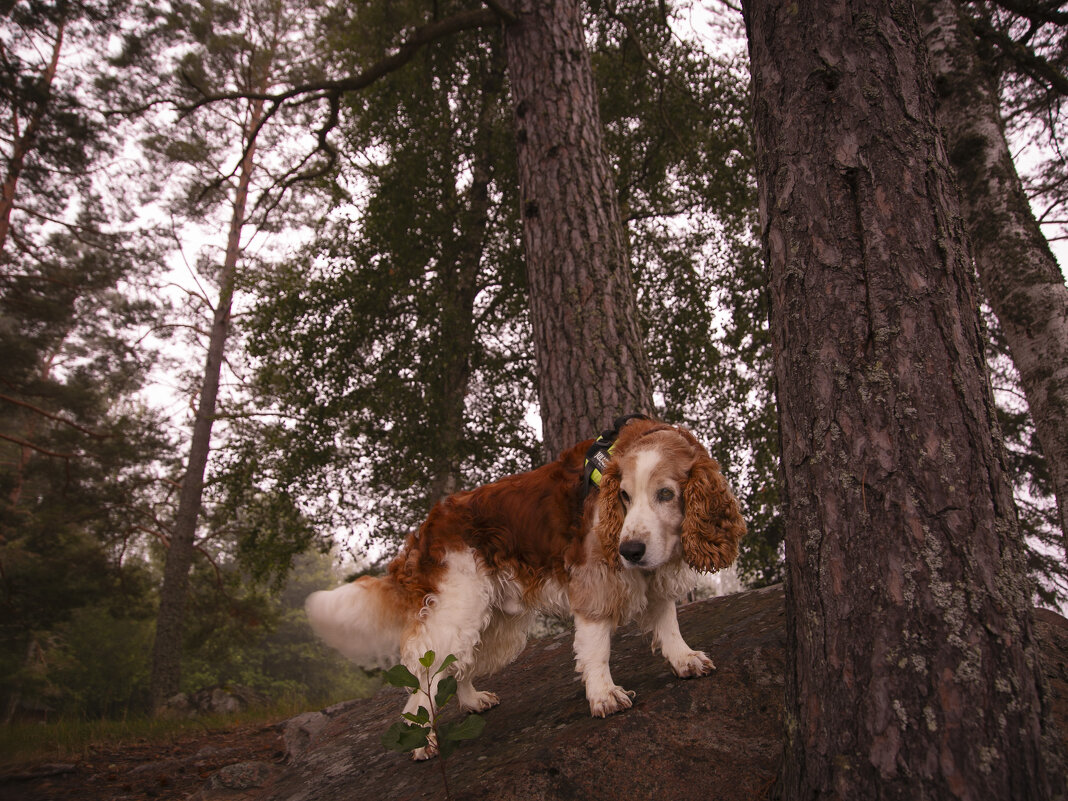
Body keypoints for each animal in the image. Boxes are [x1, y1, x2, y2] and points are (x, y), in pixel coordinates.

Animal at [305, 416, 747, 760]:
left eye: (666, 494)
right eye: (623, 496)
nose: (629, 550)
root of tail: (427, 527)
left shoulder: (650, 572)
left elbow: (668, 620)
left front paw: (684, 658)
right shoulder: (597, 578)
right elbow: (596, 647)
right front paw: (604, 695)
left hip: (489, 615)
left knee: (458, 664)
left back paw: (471, 701)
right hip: (457, 606)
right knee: (425, 676)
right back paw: (422, 742)